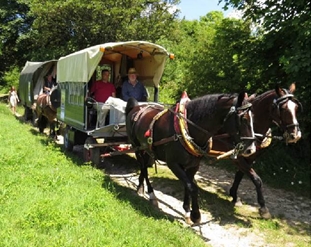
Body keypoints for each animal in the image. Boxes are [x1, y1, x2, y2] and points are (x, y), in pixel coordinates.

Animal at [125, 91, 258, 225]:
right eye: (243, 118)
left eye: (253, 118)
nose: (251, 150)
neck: (187, 128)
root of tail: (137, 107)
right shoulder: (173, 164)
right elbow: (192, 188)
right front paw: (195, 215)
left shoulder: (193, 165)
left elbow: (188, 185)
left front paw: (187, 210)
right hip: (136, 147)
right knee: (144, 168)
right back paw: (151, 195)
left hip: (147, 149)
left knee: (144, 167)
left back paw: (140, 187)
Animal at [212, 84, 302, 218]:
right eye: (283, 108)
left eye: (296, 107)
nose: (295, 135)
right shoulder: (237, 157)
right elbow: (257, 179)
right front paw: (263, 208)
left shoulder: (250, 157)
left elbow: (240, 175)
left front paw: (234, 195)